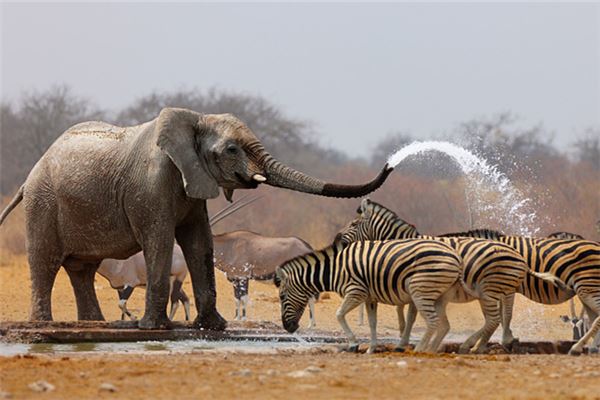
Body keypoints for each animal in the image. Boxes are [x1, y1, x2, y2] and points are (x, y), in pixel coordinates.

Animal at [0, 107, 394, 332]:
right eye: (232, 149)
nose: (390, 163)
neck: (193, 121)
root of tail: (29, 176)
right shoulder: (151, 185)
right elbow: (160, 241)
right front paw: (152, 328)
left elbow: (199, 242)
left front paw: (214, 327)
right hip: (42, 204)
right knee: (46, 262)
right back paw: (45, 325)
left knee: (82, 269)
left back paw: (93, 324)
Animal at [274, 238, 462, 354]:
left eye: (282, 297)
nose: (287, 328)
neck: (335, 270)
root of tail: (455, 255)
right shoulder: (369, 298)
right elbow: (372, 323)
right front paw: (371, 348)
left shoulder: (356, 291)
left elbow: (339, 314)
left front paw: (353, 344)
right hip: (437, 294)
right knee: (441, 324)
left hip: (420, 290)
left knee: (433, 321)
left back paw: (420, 350)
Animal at [338, 198, 568, 352]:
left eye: (353, 224)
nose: (337, 240)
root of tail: (517, 256)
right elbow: (408, 315)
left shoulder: (416, 285)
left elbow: (410, 316)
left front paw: (404, 343)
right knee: (501, 315)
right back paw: (496, 342)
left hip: (492, 289)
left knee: (501, 315)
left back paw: (484, 344)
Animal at [440, 228, 600, 356]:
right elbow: (497, 315)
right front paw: (504, 339)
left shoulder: (506, 287)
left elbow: (505, 315)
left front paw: (505, 340)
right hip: (586, 291)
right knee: (594, 318)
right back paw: (592, 348)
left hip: (588, 287)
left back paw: (577, 348)